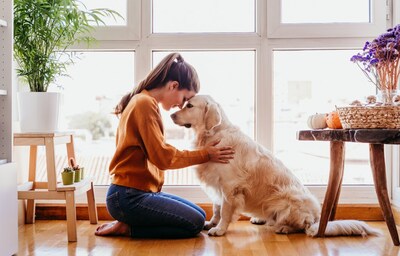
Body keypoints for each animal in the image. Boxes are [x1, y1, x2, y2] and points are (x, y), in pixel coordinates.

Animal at [170, 94, 380, 238]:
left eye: (189, 105)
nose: (171, 115)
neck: (212, 134)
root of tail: (317, 218)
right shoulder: (217, 183)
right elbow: (216, 208)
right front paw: (211, 223)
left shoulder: (230, 187)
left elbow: (225, 211)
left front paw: (219, 229)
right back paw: (261, 219)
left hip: (287, 200)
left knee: (303, 227)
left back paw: (283, 227)